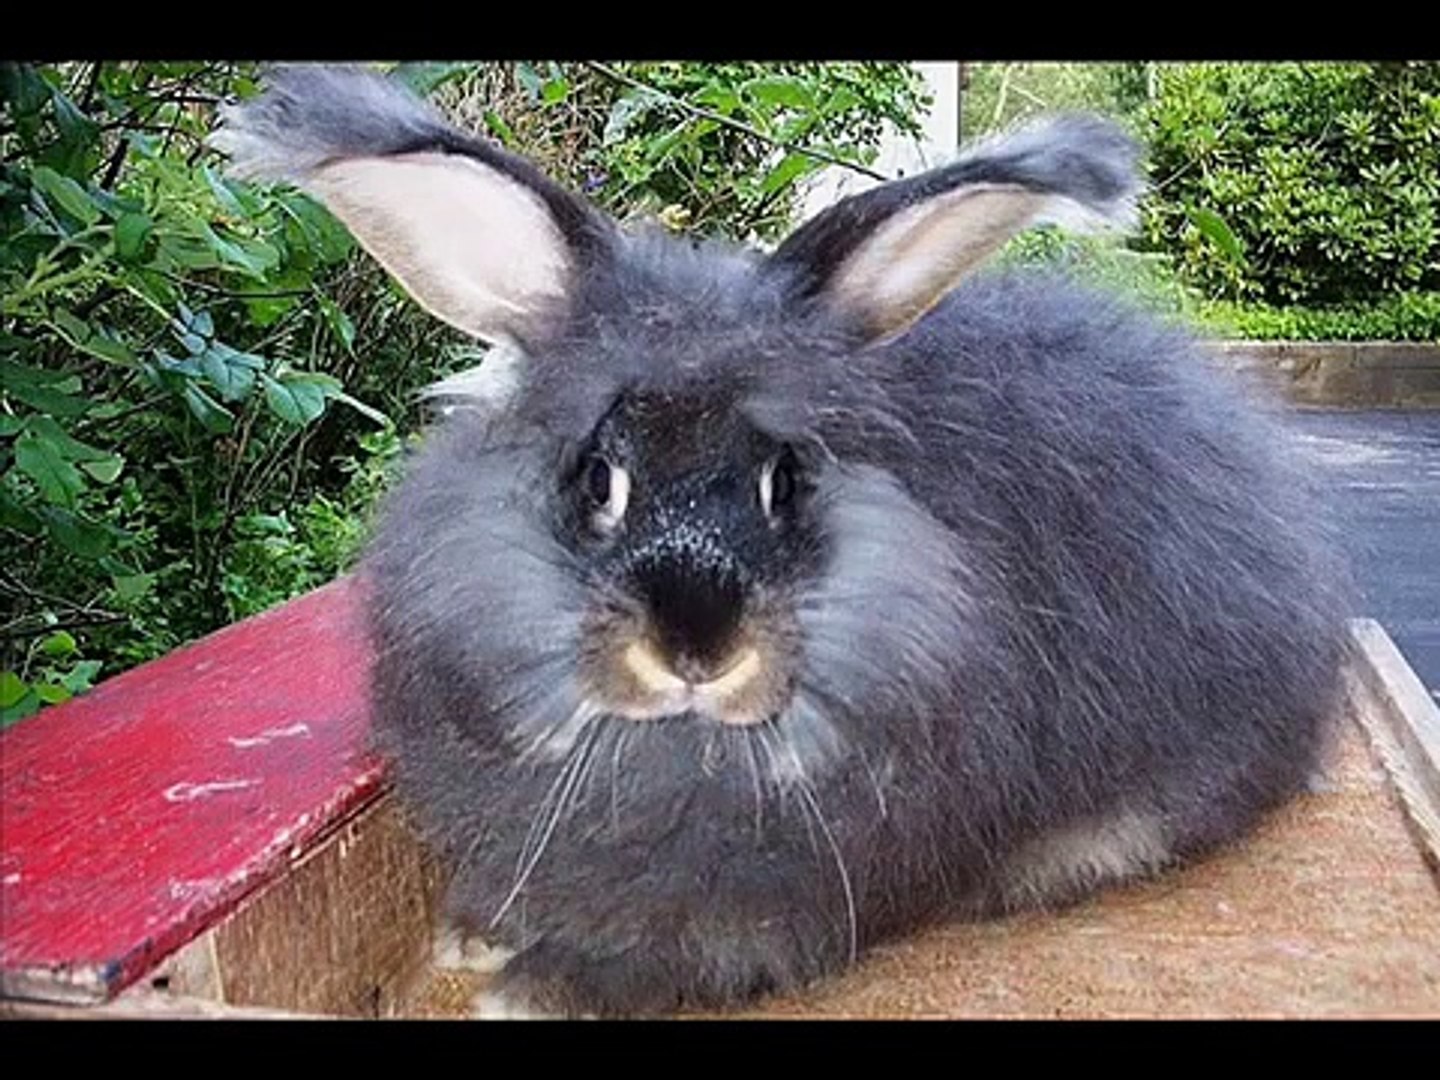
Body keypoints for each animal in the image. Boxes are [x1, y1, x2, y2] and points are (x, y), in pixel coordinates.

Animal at [210, 69, 1347, 1025]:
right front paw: (474, 935)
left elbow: (695, 956)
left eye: (783, 482)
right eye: (598, 480)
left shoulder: (775, 909)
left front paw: (537, 988)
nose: (696, 647)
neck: (674, 748)